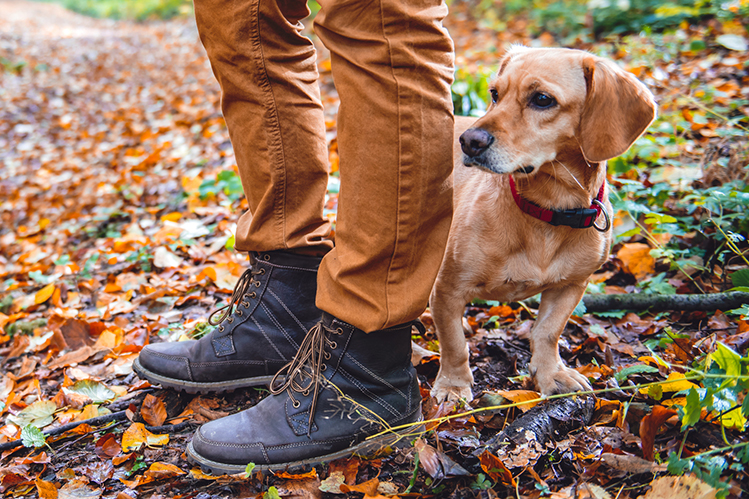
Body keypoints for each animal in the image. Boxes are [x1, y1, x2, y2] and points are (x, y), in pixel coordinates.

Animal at [426, 46, 656, 402]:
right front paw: (453, 385)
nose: (468, 140)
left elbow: (547, 332)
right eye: (495, 93)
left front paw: (550, 374)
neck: (547, 210)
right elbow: (454, 346)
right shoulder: (448, 291)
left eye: (542, 99)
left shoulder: (571, 286)